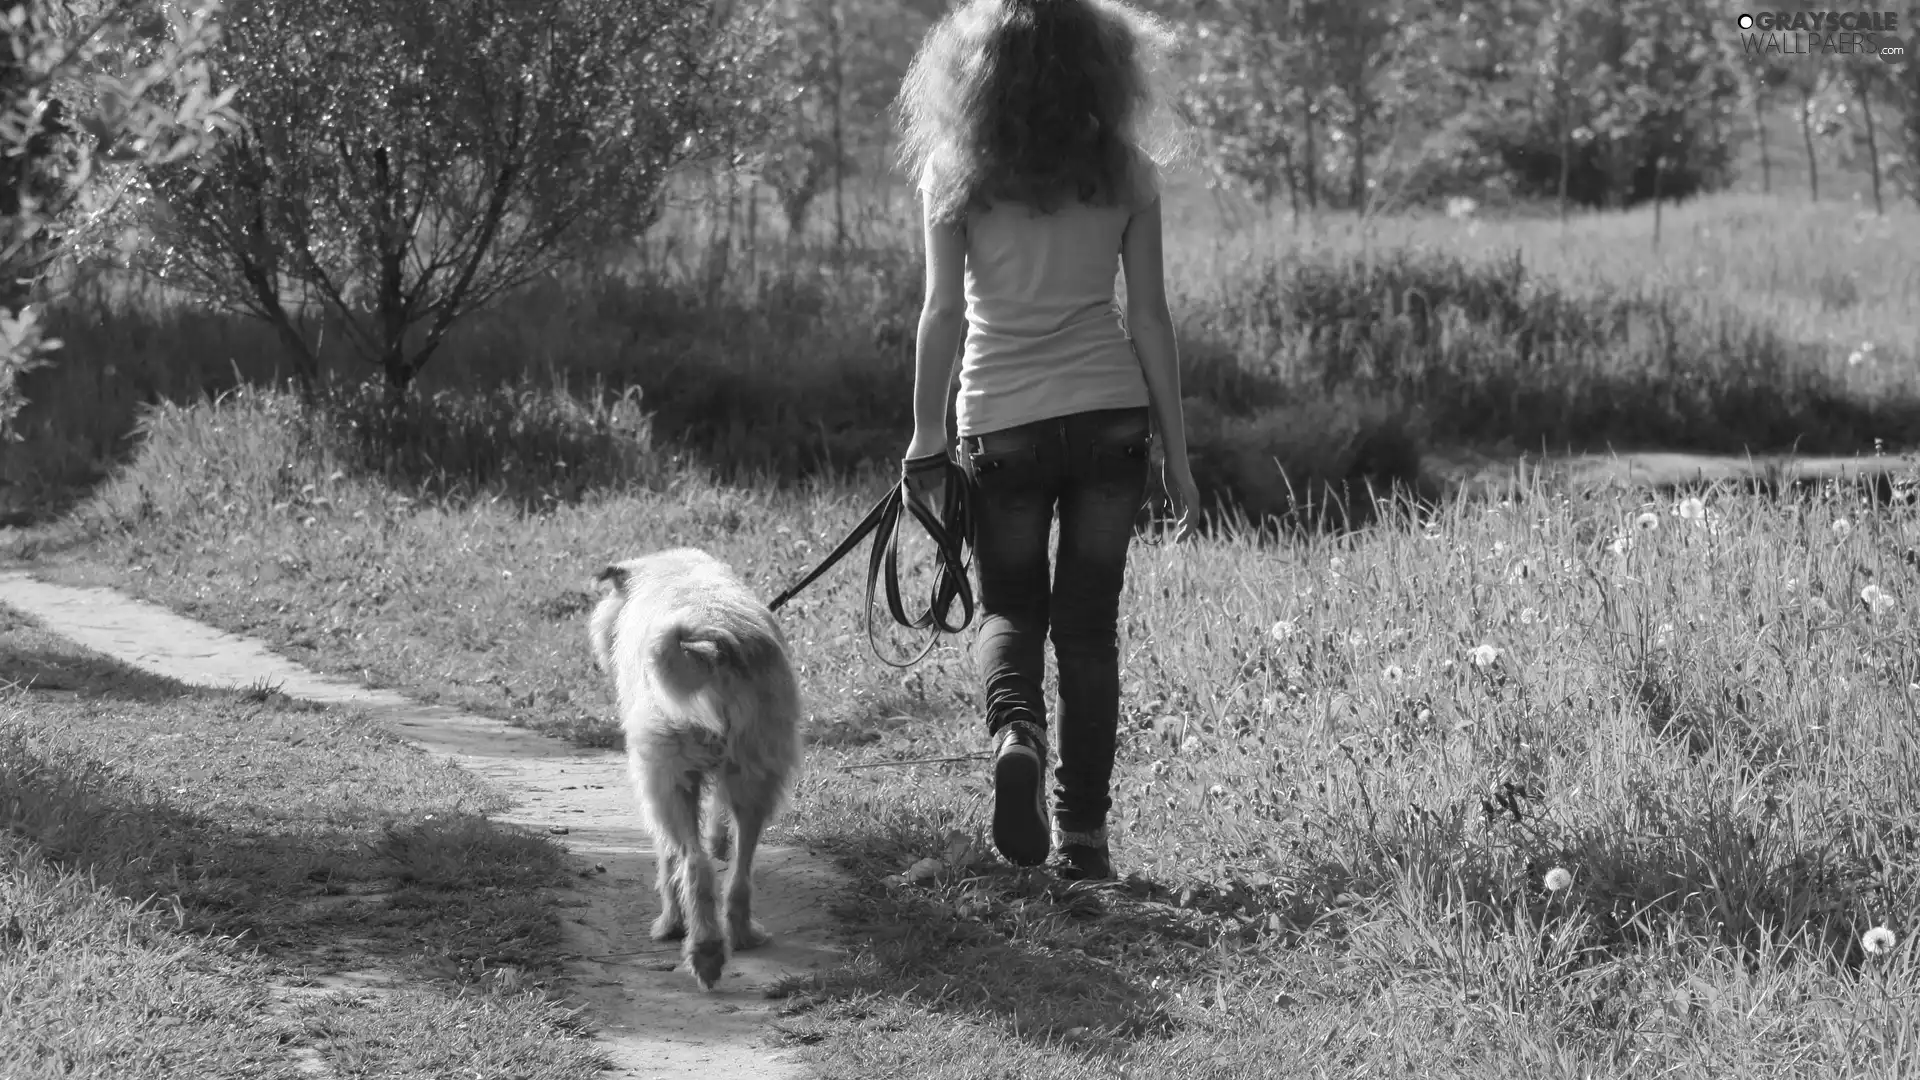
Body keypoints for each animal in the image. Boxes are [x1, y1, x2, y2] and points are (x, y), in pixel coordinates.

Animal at [579, 549, 798, 991]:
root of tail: (710, 645)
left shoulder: (655, 779)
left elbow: (668, 858)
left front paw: (671, 924)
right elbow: (717, 826)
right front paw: (718, 840)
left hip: (667, 778)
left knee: (694, 865)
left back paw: (703, 950)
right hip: (756, 770)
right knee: (740, 870)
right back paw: (742, 934)